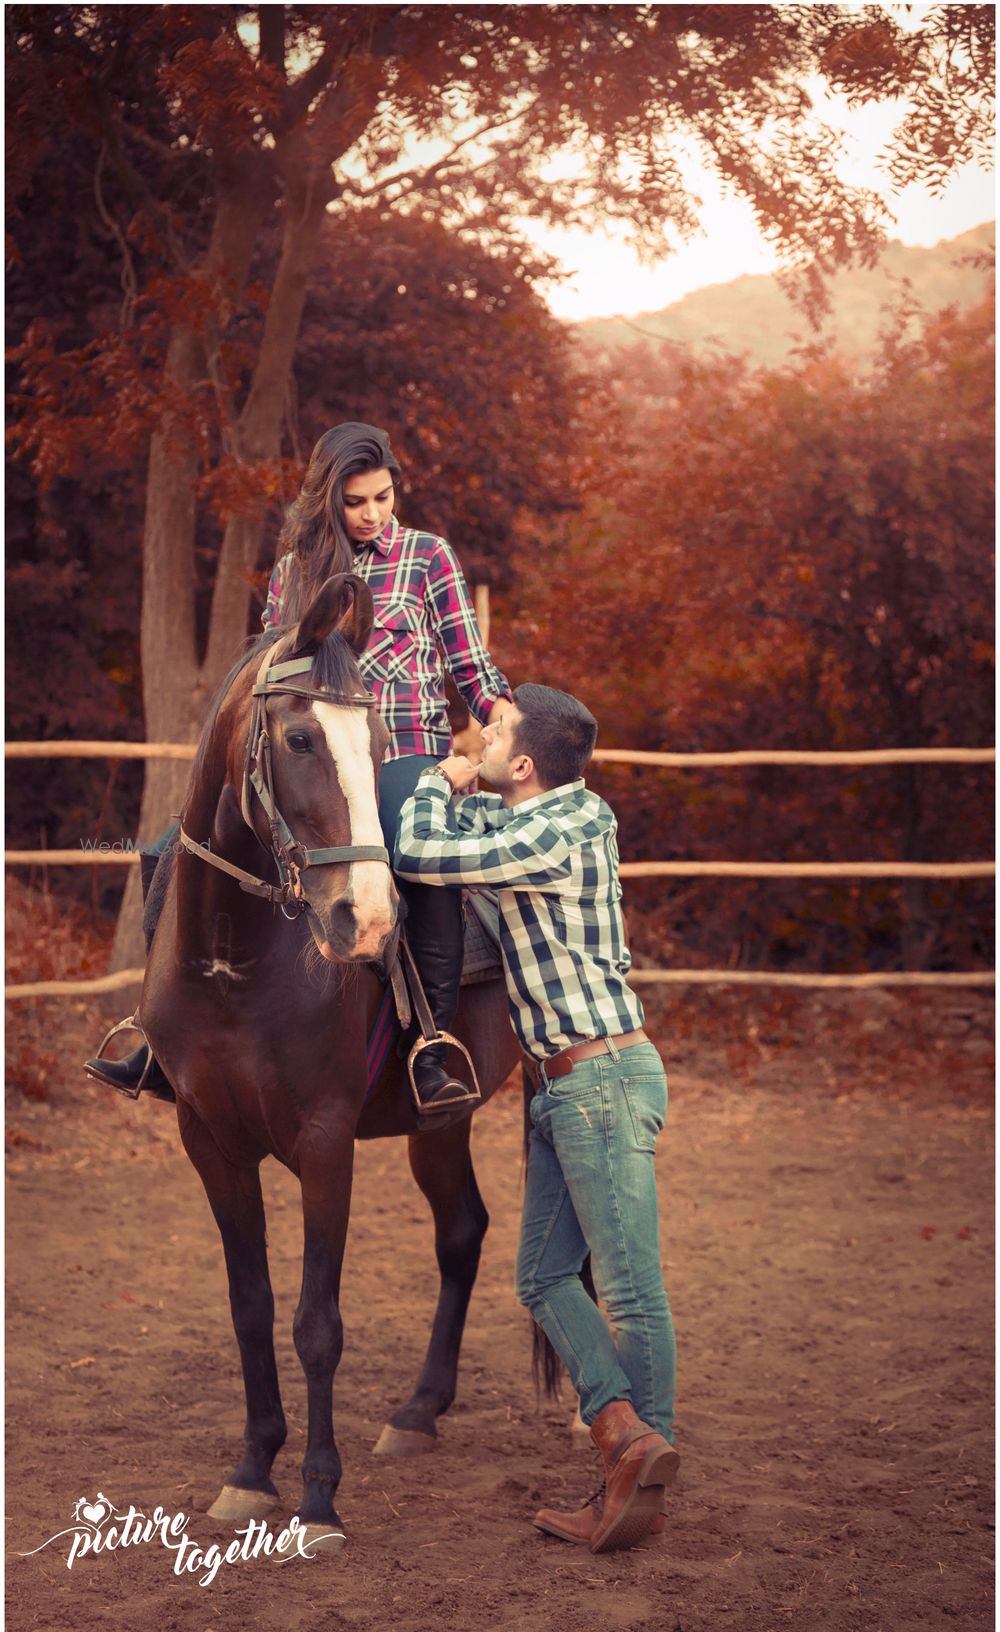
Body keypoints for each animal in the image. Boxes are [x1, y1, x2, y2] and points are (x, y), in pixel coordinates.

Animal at [140, 580, 522, 1547]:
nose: (368, 920)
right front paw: (251, 1471)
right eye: (300, 740)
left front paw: (317, 1495)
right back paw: (419, 1410)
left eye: (380, 746)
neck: (238, 962)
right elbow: (251, 1307)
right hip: (440, 1123)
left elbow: (317, 1323)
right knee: (463, 1231)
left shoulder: (325, 1142)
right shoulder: (209, 1141)